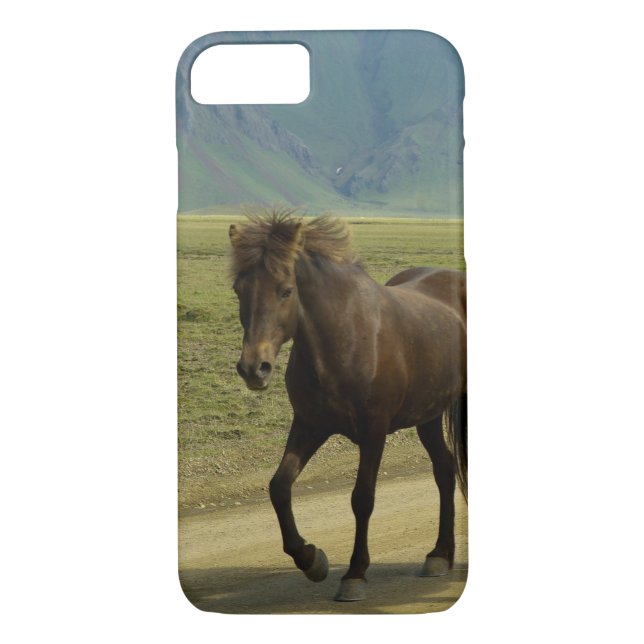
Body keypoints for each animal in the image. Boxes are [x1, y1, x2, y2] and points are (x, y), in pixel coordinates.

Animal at [228, 210, 467, 602]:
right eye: (239, 289)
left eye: (286, 290)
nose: (253, 368)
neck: (344, 339)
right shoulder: (309, 425)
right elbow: (279, 487)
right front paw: (311, 559)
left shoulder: (373, 432)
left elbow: (362, 498)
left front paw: (355, 574)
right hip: (428, 415)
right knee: (444, 470)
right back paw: (439, 555)